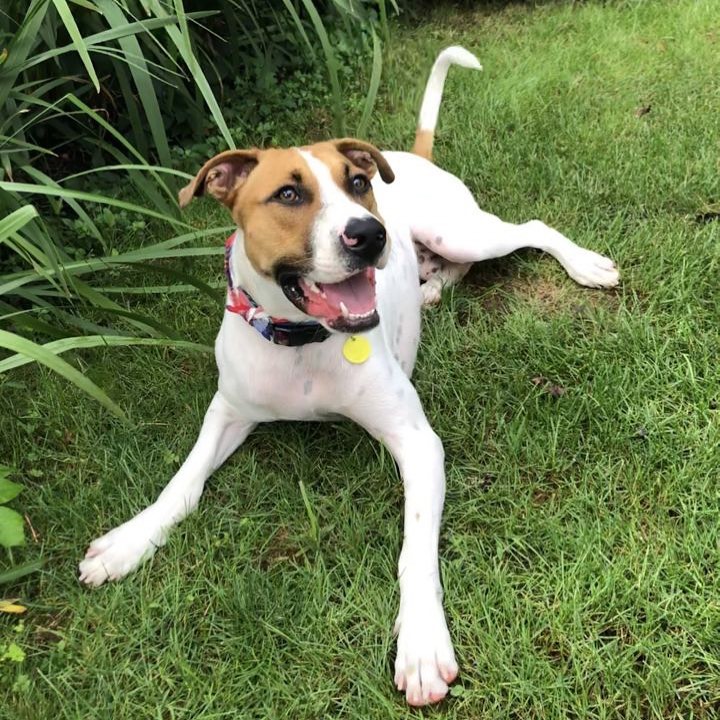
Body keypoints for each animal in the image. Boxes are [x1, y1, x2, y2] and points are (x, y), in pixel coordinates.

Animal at [79, 47, 620, 704]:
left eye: (357, 183)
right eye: (288, 194)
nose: (369, 232)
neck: (302, 342)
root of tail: (415, 156)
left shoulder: (418, 442)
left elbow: (415, 549)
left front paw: (421, 643)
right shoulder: (227, 410)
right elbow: (182, 484)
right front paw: (129, 541)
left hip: (459, 230)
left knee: (529, 230)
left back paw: (584, 265)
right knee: (456, 267)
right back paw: (432, 288)